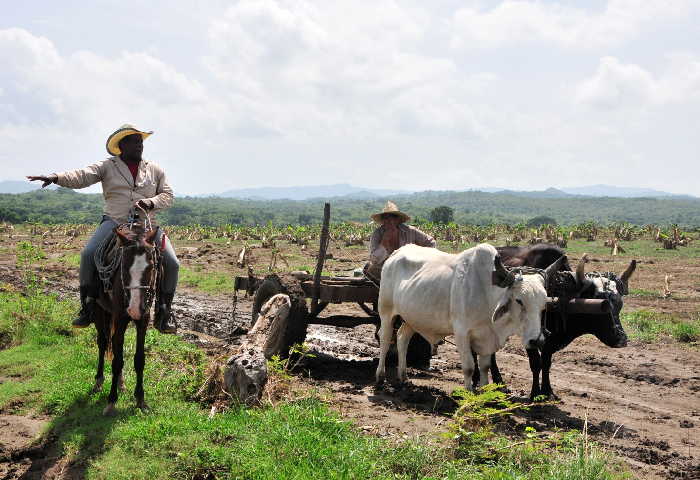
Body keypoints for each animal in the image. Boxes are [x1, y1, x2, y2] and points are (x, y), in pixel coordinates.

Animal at [91, 225, 159, 416]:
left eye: (151, 266)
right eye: (124, 265)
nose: (134, 309)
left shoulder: (143, 320)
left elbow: (139, 359)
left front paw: (141, 399)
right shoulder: (120, 320)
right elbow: (117, 361)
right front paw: (111, 400)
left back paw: (121, 383)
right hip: (99, 311)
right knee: (103, 343)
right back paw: (99, 380)